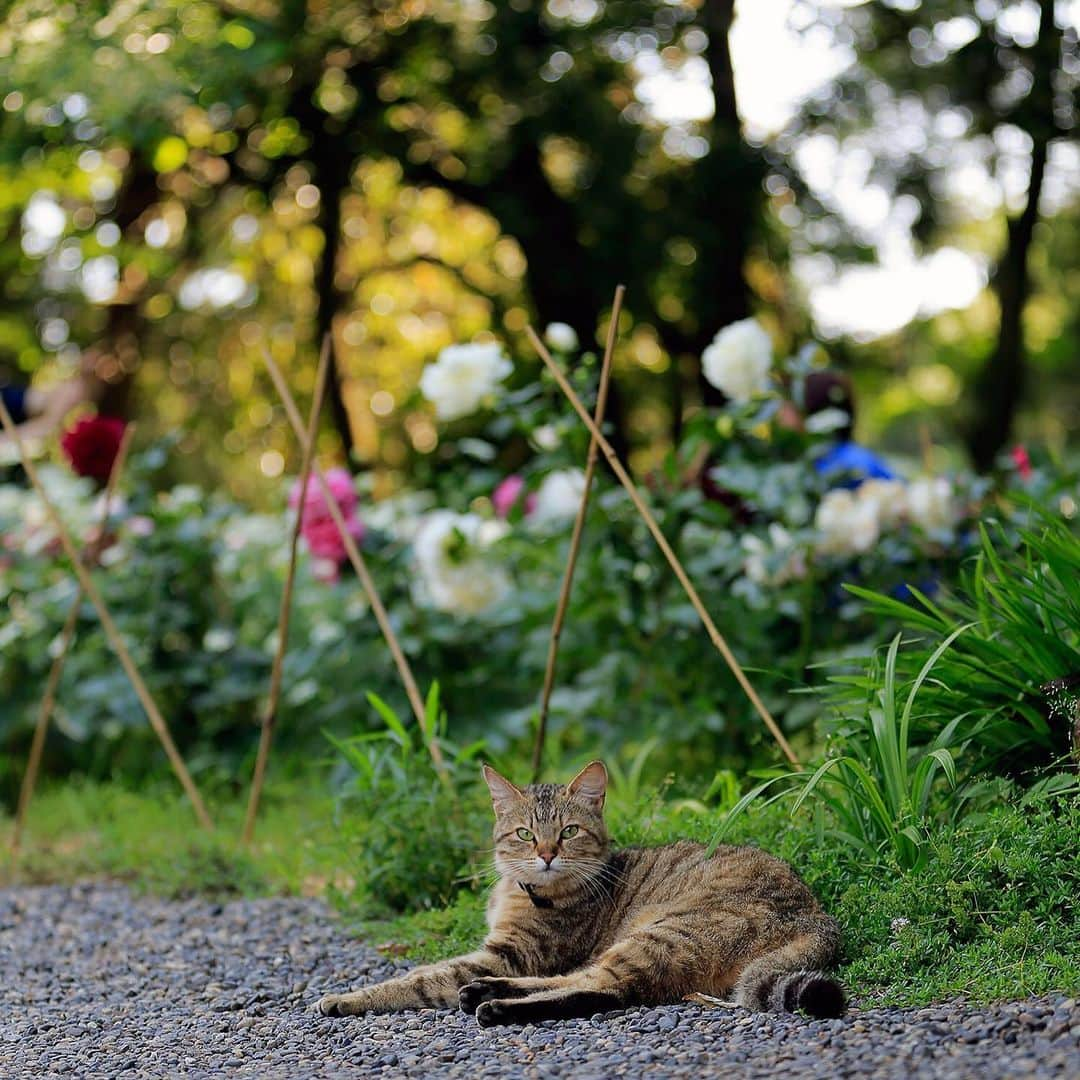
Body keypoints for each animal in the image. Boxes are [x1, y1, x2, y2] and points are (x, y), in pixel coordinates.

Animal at [315, 760, 846, 1028]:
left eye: (568, 832)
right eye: (525, 834)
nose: (548, 854)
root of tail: (817, 916)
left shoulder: (510, 952)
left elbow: (419, 978)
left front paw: (345, 997)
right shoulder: (505, 952)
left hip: (660, 934)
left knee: (605, 988)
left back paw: (496, 1004)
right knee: (584, 980)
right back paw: (488, 992)